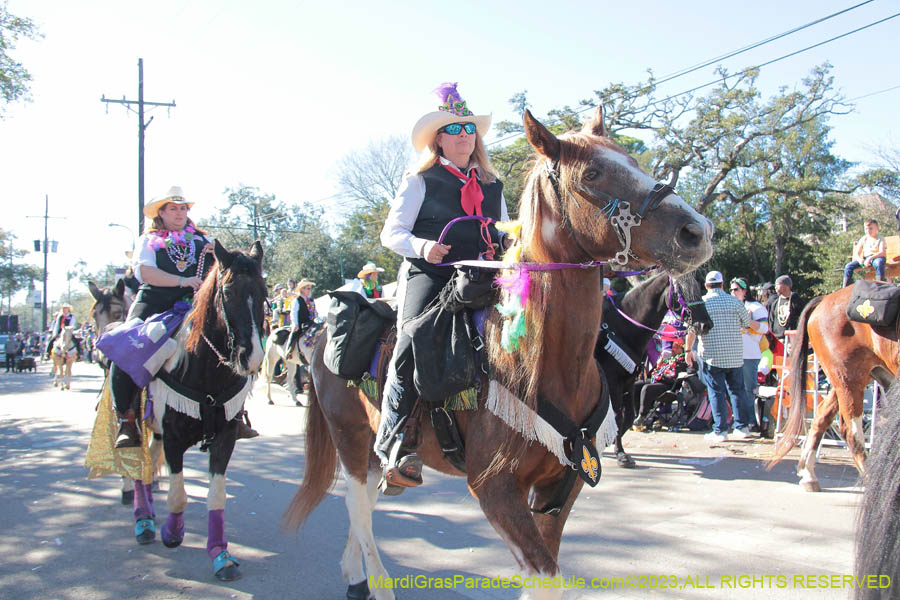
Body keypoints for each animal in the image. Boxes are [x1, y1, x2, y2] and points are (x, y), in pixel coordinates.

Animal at [284, 108, 712, 600]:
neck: (543, 362)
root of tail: (321, 336)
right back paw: (376, 582)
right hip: (351, 440)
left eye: (632, 161)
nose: (697, 231)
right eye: (592, 173)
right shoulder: (494, 488)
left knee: (364, 509)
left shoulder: (560, 486)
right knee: (358, 510)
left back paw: (355, 577)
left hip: (371, 454)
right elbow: (546, 576)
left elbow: (546, 574)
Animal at [768, 286, 900, 492]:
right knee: (851, 433)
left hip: (847, 380)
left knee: (821, 417)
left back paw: (808, 474)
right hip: (849, 379)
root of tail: (824, 300)